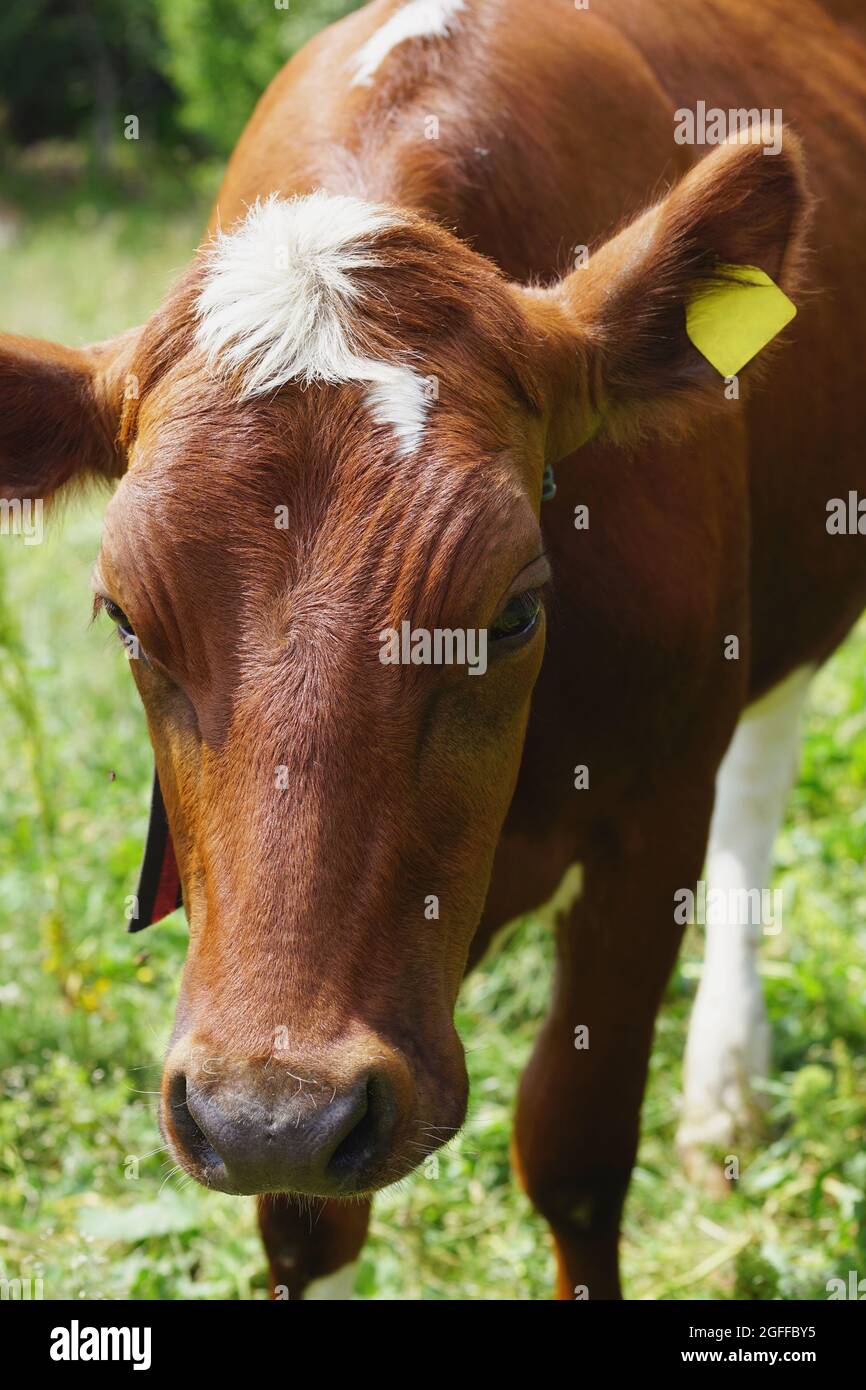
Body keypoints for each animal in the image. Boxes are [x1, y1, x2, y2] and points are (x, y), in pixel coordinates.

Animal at [1, 2, 866, 1301]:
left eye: (508, 612)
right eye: (125, 619)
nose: (272, 1114)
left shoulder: (650, 813)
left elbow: (573, 1152)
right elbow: (303, 1223)